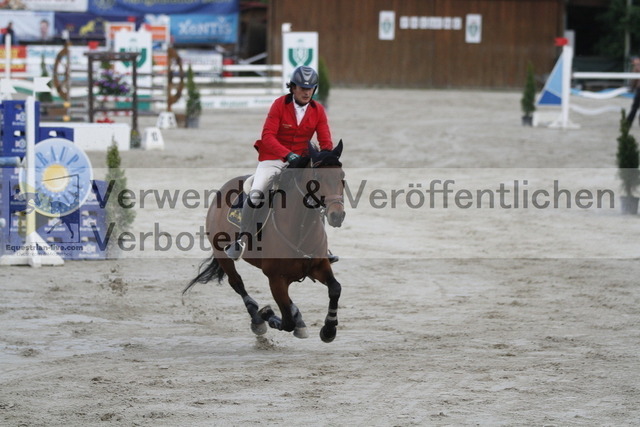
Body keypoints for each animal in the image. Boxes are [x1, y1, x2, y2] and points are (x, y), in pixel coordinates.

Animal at [183, 141, 346, 342]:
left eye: (342, 176)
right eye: (317, 177)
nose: (337, 215)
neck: (300, 227)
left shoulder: (319, 265)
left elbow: (335, 289)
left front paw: (329, 329)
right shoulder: (275, 279)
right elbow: (286, 322)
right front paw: (267, 314)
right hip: (222, 254)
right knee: (237, 283)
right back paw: (258, 319)